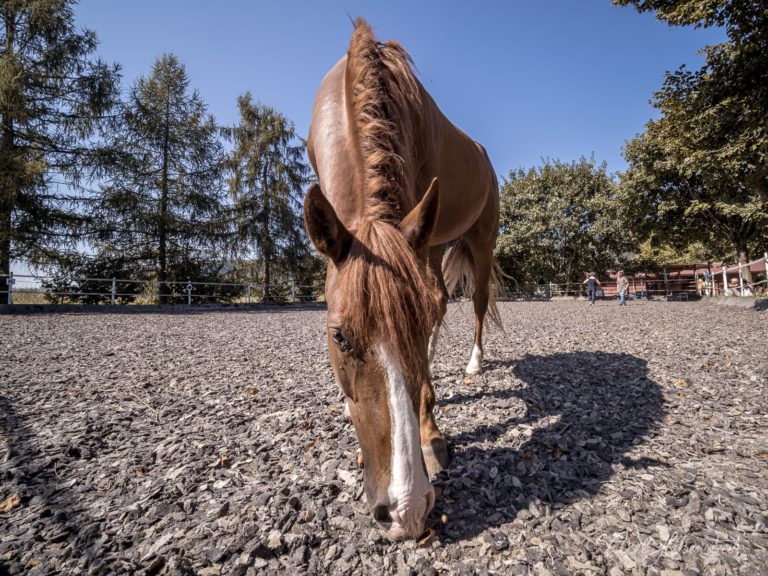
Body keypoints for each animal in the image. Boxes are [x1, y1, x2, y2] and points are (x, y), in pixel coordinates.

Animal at [303, 19, 502, 540]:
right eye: (338, 336)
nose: (405, 509)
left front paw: (430, 435)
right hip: (428, 242)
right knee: (441, 294)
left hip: (479, 240)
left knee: (474, 302)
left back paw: (473, 363)